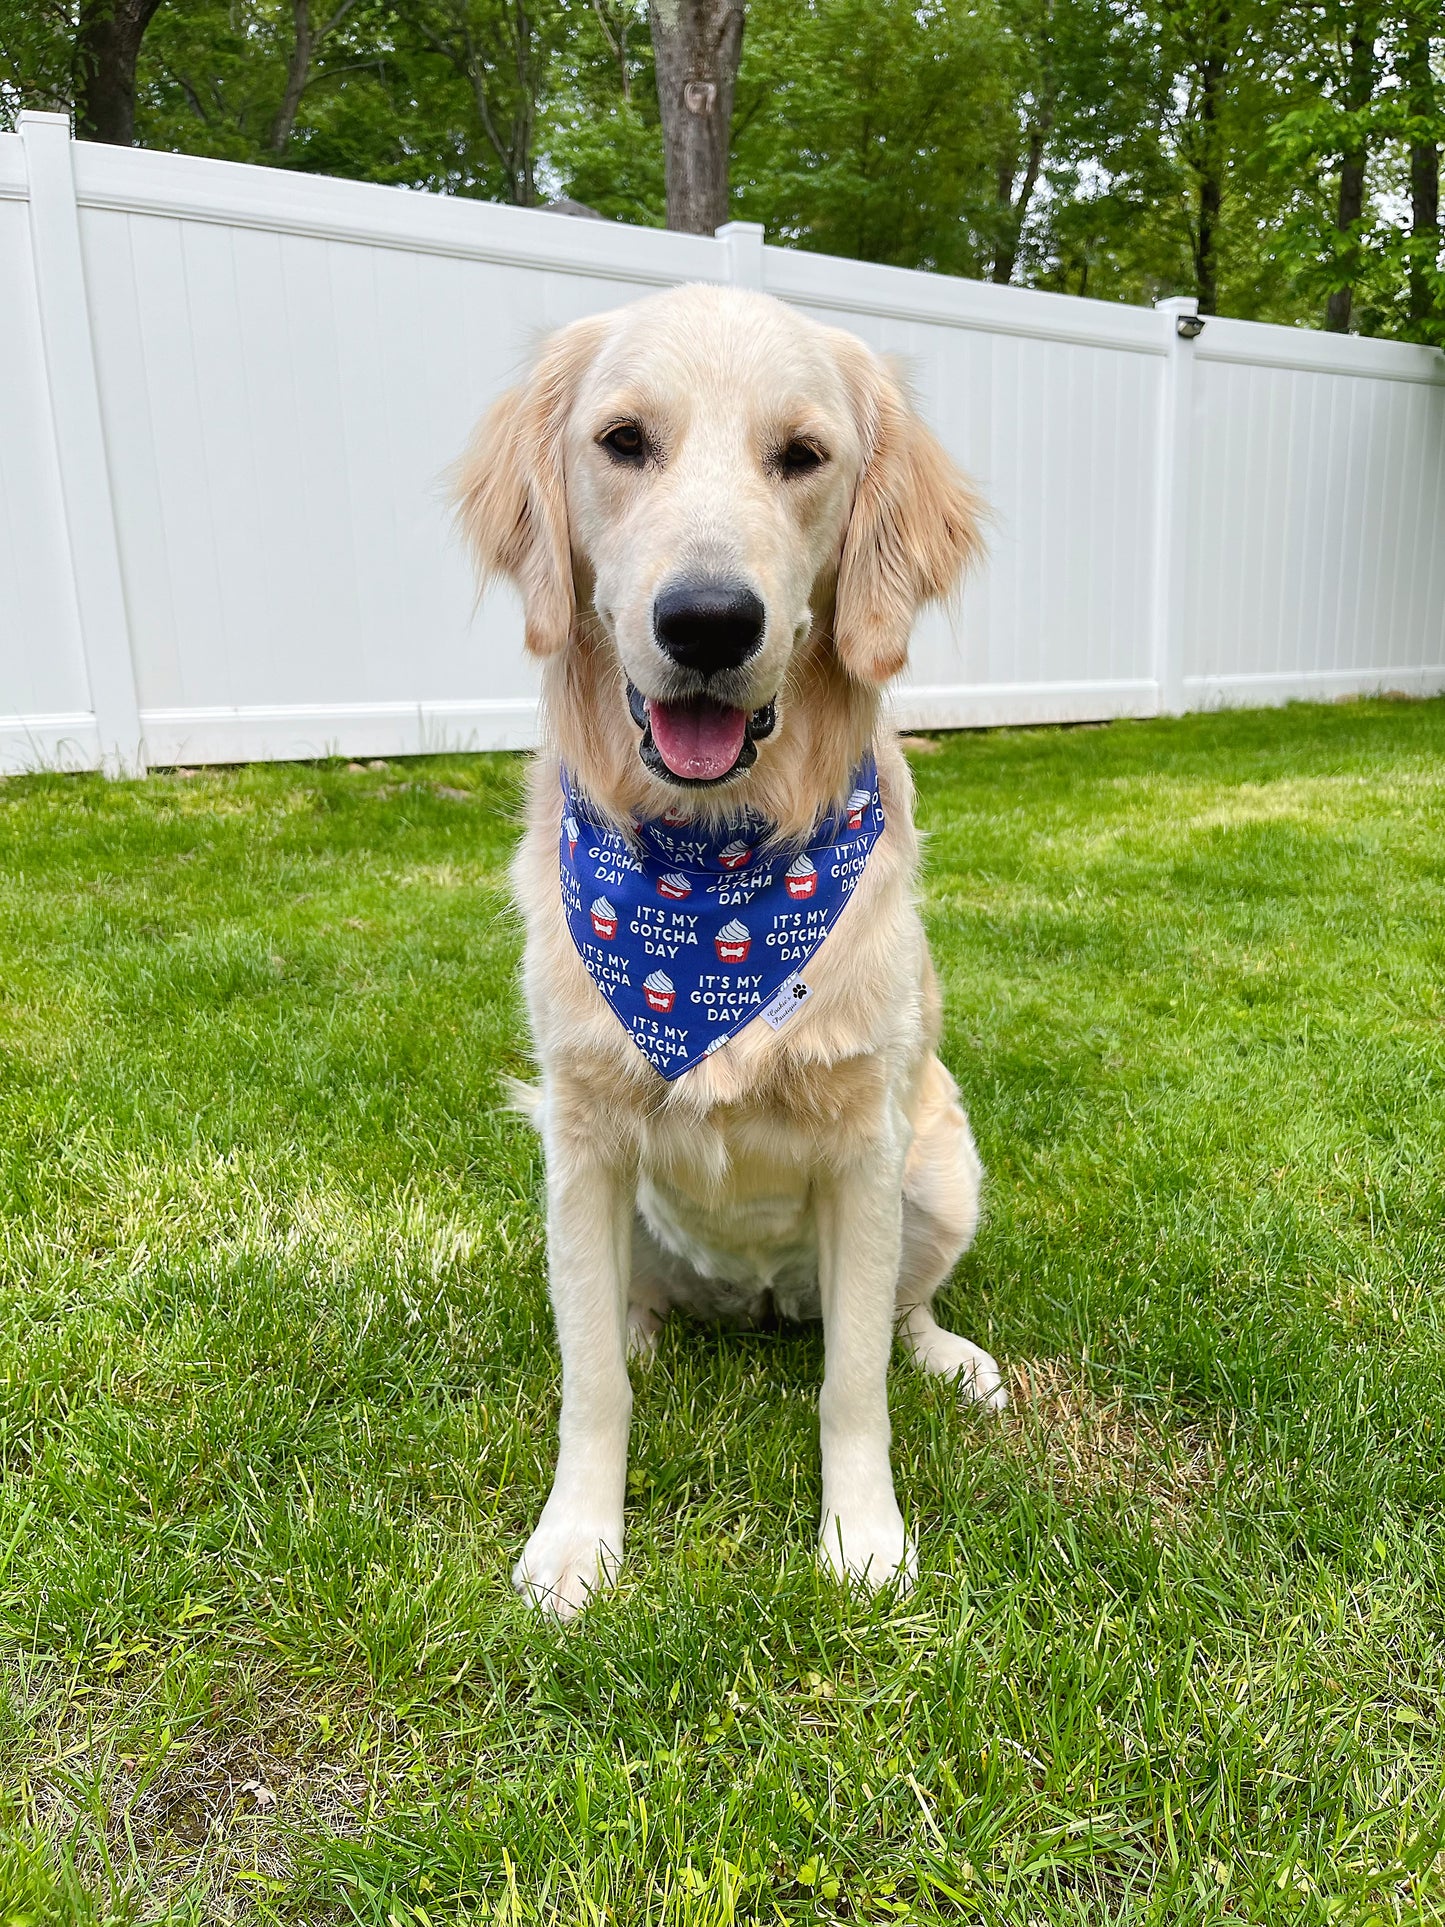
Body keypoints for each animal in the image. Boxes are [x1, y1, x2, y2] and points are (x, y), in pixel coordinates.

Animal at [460, 279, 1009, 1618]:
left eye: (801, 456)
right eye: (622, 442)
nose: (707, 622)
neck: (710, 876)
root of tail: (756, 1296)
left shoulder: (863, 1151)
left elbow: (850, 1384)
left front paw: (862, 1537)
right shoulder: (582, 1137)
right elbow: (589, 1382)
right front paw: (576, 1538)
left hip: (939, 1166)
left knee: (896, 1315)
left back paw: (947, 1356)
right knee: (614, 1314)